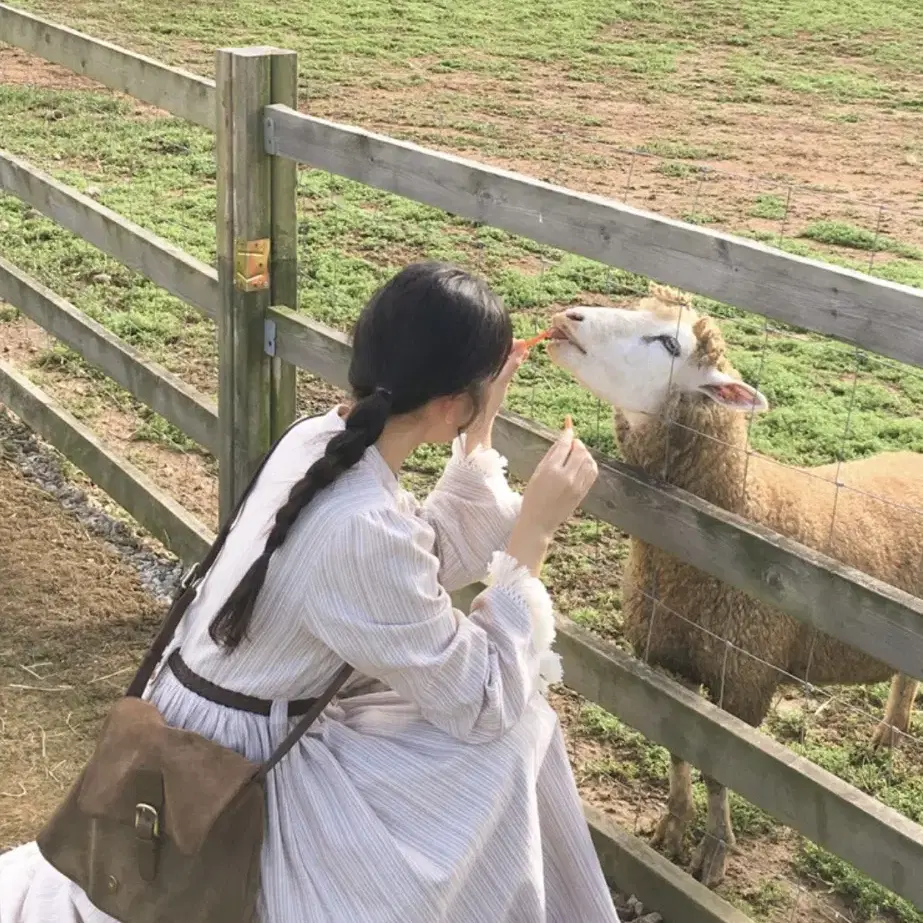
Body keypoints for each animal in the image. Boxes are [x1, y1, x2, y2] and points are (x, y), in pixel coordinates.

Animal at [544, 286, 920, 888]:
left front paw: (713, 852)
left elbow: (721, 772)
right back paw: (891, 732)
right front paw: (671, 828)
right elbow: (678, 750)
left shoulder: (742, 677)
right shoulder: (663, 659)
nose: (568, 317)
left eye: (669, 343)